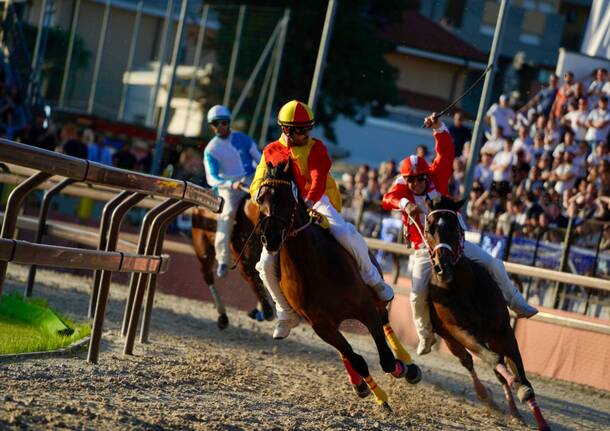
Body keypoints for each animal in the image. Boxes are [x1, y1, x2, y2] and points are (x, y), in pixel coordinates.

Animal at [192, 197, 274, 330]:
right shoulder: (245, 264)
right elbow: (256, 281)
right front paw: (267, 310)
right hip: (202, 247)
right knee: (207, 275)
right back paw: (223, 315)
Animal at [254, 160, 420, 410]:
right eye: (260, 198)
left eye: (285, 197)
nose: (269, 237)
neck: (312, 265)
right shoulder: (321, 325)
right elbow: (357, 359)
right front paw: (379, 396)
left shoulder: (365, 308)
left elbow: (387, 360)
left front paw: (401, 369)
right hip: (332, 322)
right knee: (347, 352)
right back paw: (360, 384)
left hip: (374, 297)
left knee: (385, 319)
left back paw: (408, 364)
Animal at [422, 197, 552, 431]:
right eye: (429, 229)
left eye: (455, 227)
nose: (442, 268)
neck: (463, 287)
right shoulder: (460, 330)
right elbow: (494, 360)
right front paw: (512, 385)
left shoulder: (503, 331)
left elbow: (521, 375)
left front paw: (538, 417)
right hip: (449, 338)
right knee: (468, 361)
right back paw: (485, 394)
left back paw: (513, 410)